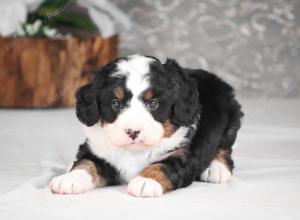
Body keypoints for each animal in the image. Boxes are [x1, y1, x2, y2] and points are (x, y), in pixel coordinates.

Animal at [48, 54, 243, 198]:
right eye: (116, 104)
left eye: (153, 103)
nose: (133, 132)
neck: (133, 151)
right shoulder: (97, 149)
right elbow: (87, 162)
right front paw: (69, 178)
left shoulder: (182, 153)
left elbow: (164, 165)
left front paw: (146, 181)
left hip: (230, 120)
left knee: (224, 148)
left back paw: (216, 168)